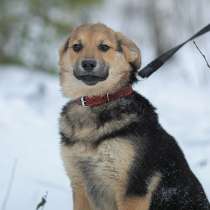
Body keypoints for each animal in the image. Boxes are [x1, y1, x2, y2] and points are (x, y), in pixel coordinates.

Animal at [57, 23, 210, 210]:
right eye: (77, 47)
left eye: (104, 47)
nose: (88, 63)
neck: (97, 101)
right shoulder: (79, 185)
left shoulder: (133, 190)